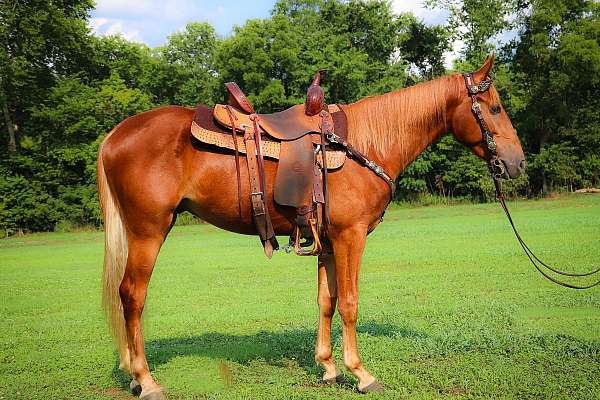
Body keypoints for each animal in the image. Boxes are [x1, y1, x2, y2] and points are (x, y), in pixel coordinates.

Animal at [98, 55, 524, 396]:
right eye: (495, 108)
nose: (517, 163)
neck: (365, 144)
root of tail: (115, 134)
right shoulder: (351, 236)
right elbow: (349, 302)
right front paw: (360, 373)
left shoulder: (329, 242)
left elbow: (326, 300)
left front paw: (328, 367)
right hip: (148, 232)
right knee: (131, 296)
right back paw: (146, 380)